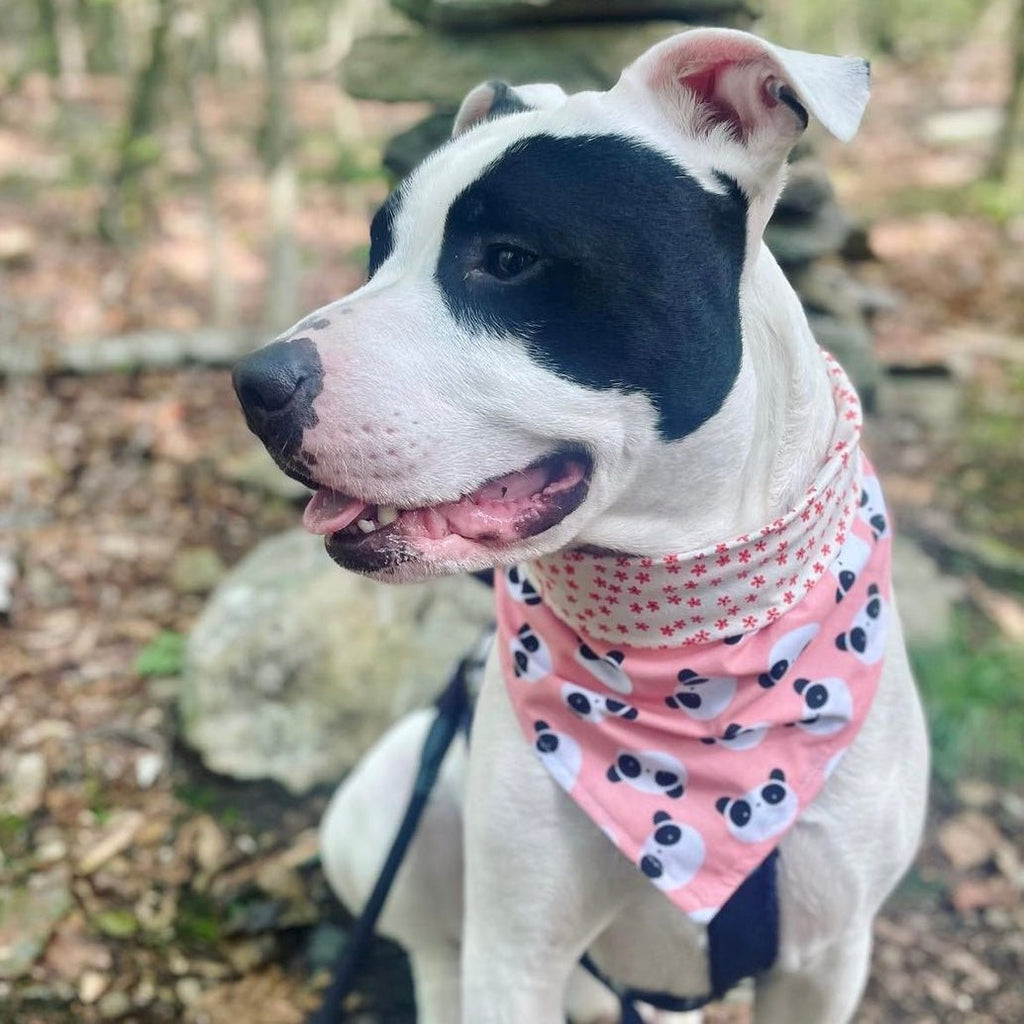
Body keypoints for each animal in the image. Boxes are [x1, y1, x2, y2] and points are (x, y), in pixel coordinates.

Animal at [235, 28, 933, 1019]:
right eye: (379, 252)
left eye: (508, 259)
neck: (691, 646)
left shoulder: (826, 960)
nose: (253, 386)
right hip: (392, 806)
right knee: (430, 944)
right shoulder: (517, 948)